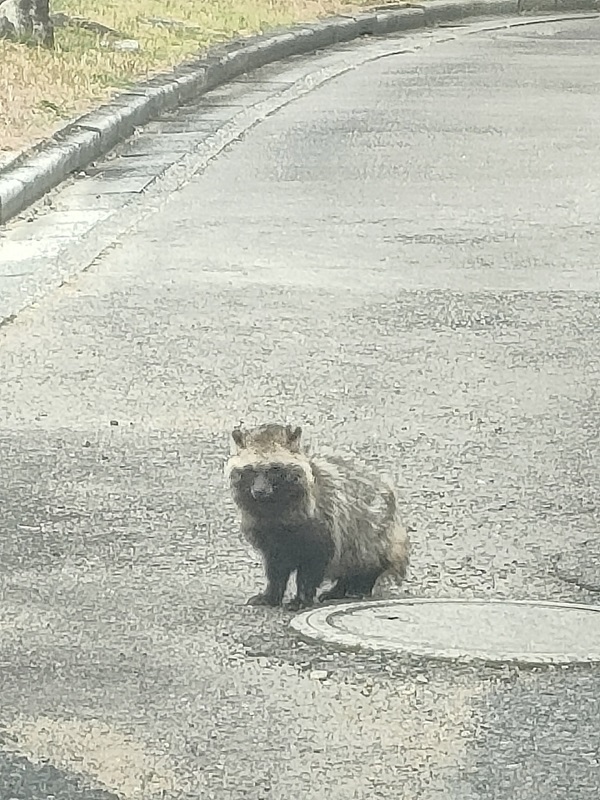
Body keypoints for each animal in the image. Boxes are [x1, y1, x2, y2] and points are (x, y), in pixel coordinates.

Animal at [226, 424, 412, 608]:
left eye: (274, 469)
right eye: (250, 470)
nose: (259, 491)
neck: (272, 506)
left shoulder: (323, 524)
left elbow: (311, 567)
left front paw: (301, 598)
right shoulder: (268, 536)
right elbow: (276, 569)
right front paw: (272, 594)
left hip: (374, 530)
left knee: (366, 557)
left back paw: (361, 584)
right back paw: (340, 588)